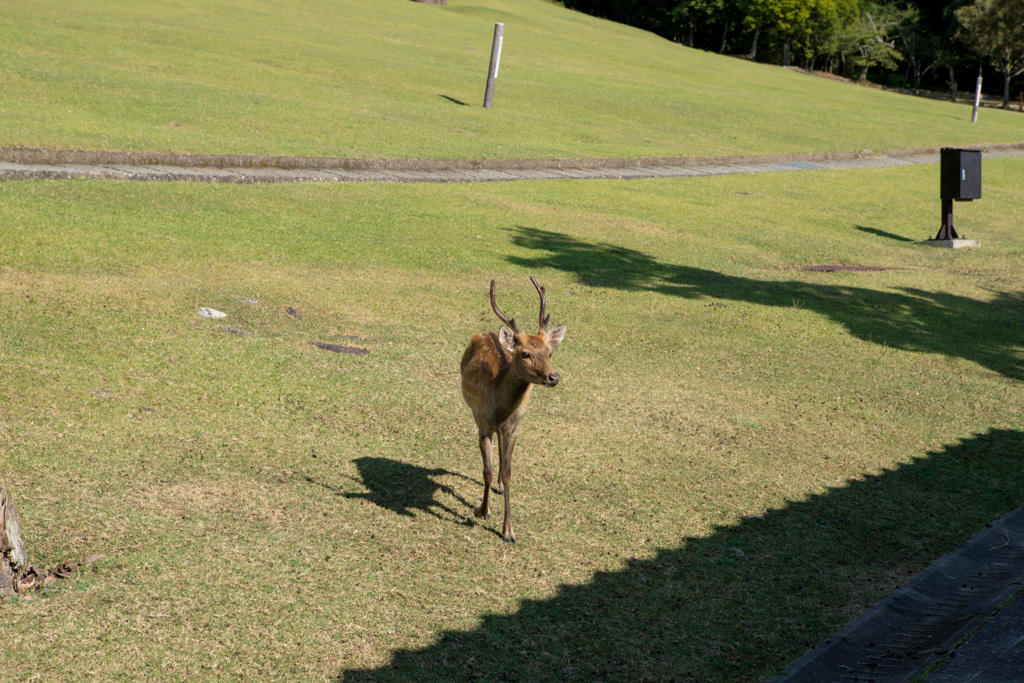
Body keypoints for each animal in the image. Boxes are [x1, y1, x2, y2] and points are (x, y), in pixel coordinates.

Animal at [458, 278, 565, 544]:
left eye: (550, 352)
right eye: (525, 353)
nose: (554, 377)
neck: (502, 408)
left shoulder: (515, 428)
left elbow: (508, 473)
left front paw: (509, 531)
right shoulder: (484, 424)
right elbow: (486, 470)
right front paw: (482, 510)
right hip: (474, 412)